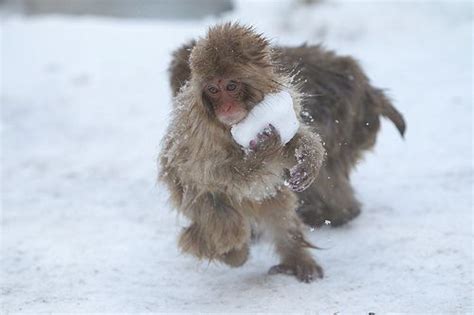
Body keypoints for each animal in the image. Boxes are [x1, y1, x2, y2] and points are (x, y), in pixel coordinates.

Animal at [159, 22, 404, 284]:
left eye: (231, 86)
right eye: (213, 89)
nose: (226, 107)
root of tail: (369, 92)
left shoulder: (286, 100)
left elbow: (294, 140)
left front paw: (307, 157)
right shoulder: (198, 133)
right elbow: (211, 173)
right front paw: (265, 151)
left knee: (280, 208)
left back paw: (299, 257)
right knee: (222, 217)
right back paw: (231, 250)